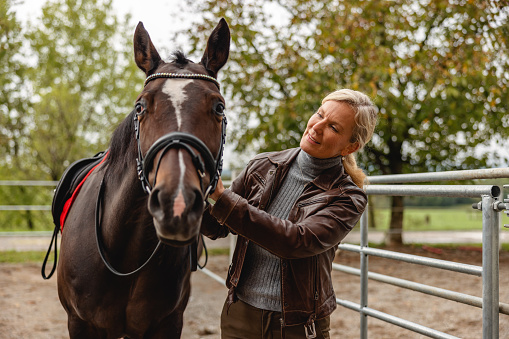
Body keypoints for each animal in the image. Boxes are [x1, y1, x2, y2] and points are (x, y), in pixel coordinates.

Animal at [55, 19, 228, 339]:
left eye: (219, 107)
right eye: (140, 107)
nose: (177, 204)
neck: (125, 255)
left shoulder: (168, 324)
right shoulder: (80, 323)